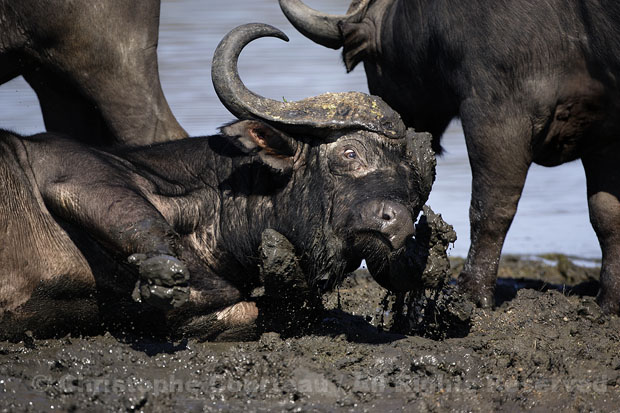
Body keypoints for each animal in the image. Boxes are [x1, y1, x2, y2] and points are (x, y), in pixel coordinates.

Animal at [0, 25, 446, 342]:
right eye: (350, 153)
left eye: (411, 187)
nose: (397, 222)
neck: (203, 204)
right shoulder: (67, 169)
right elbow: (138, 219)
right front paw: (163, 273)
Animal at [282, 0, 620, 310]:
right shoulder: (605, 137)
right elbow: (607, 215)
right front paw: (610, 301)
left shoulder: (496, 113)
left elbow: (490, 209)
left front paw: (472, 291)